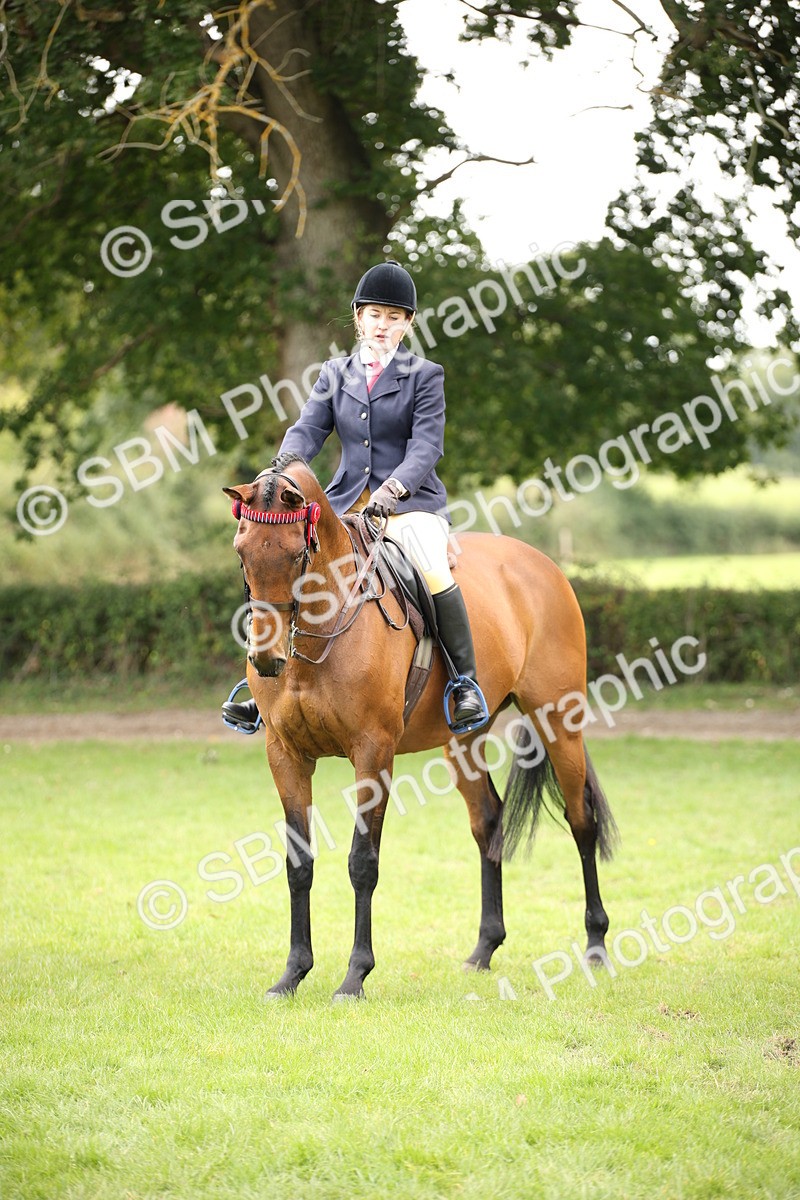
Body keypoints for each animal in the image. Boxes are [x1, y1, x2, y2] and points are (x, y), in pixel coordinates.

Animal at [223, 453, 618, 1001]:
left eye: (295, 555)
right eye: (242, 553)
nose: (267, 660)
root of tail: (541, 564)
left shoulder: (373, 753)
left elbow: (362, 861)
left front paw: (354, 976)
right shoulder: (285, 754)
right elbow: (298, 864)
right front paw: (292, 975)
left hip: (559, 718)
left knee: (582, 818)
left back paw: (596, 947)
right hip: (464, 740)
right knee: (488, 820)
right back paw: (483, 950)